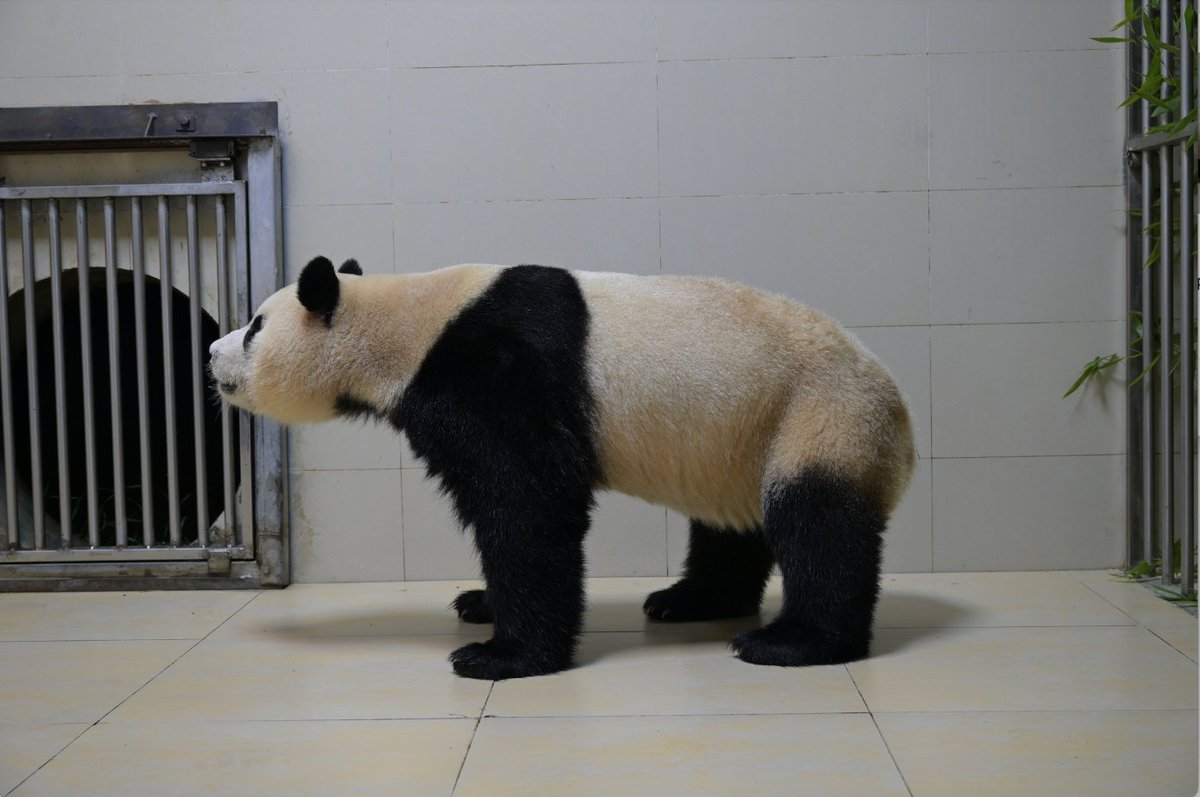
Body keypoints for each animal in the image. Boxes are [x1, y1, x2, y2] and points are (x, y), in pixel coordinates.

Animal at [209, 256, 916, 680]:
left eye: (255, 326)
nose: (212, 353)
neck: (410, 324)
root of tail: (903, 427)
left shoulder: (500, 371)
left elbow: (529, 505)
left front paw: (500, 654)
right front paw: (478, 603)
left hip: (819, 414)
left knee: (818, 525)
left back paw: (790, 642)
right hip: (738, 441)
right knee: (730, 528)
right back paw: (688, 601)